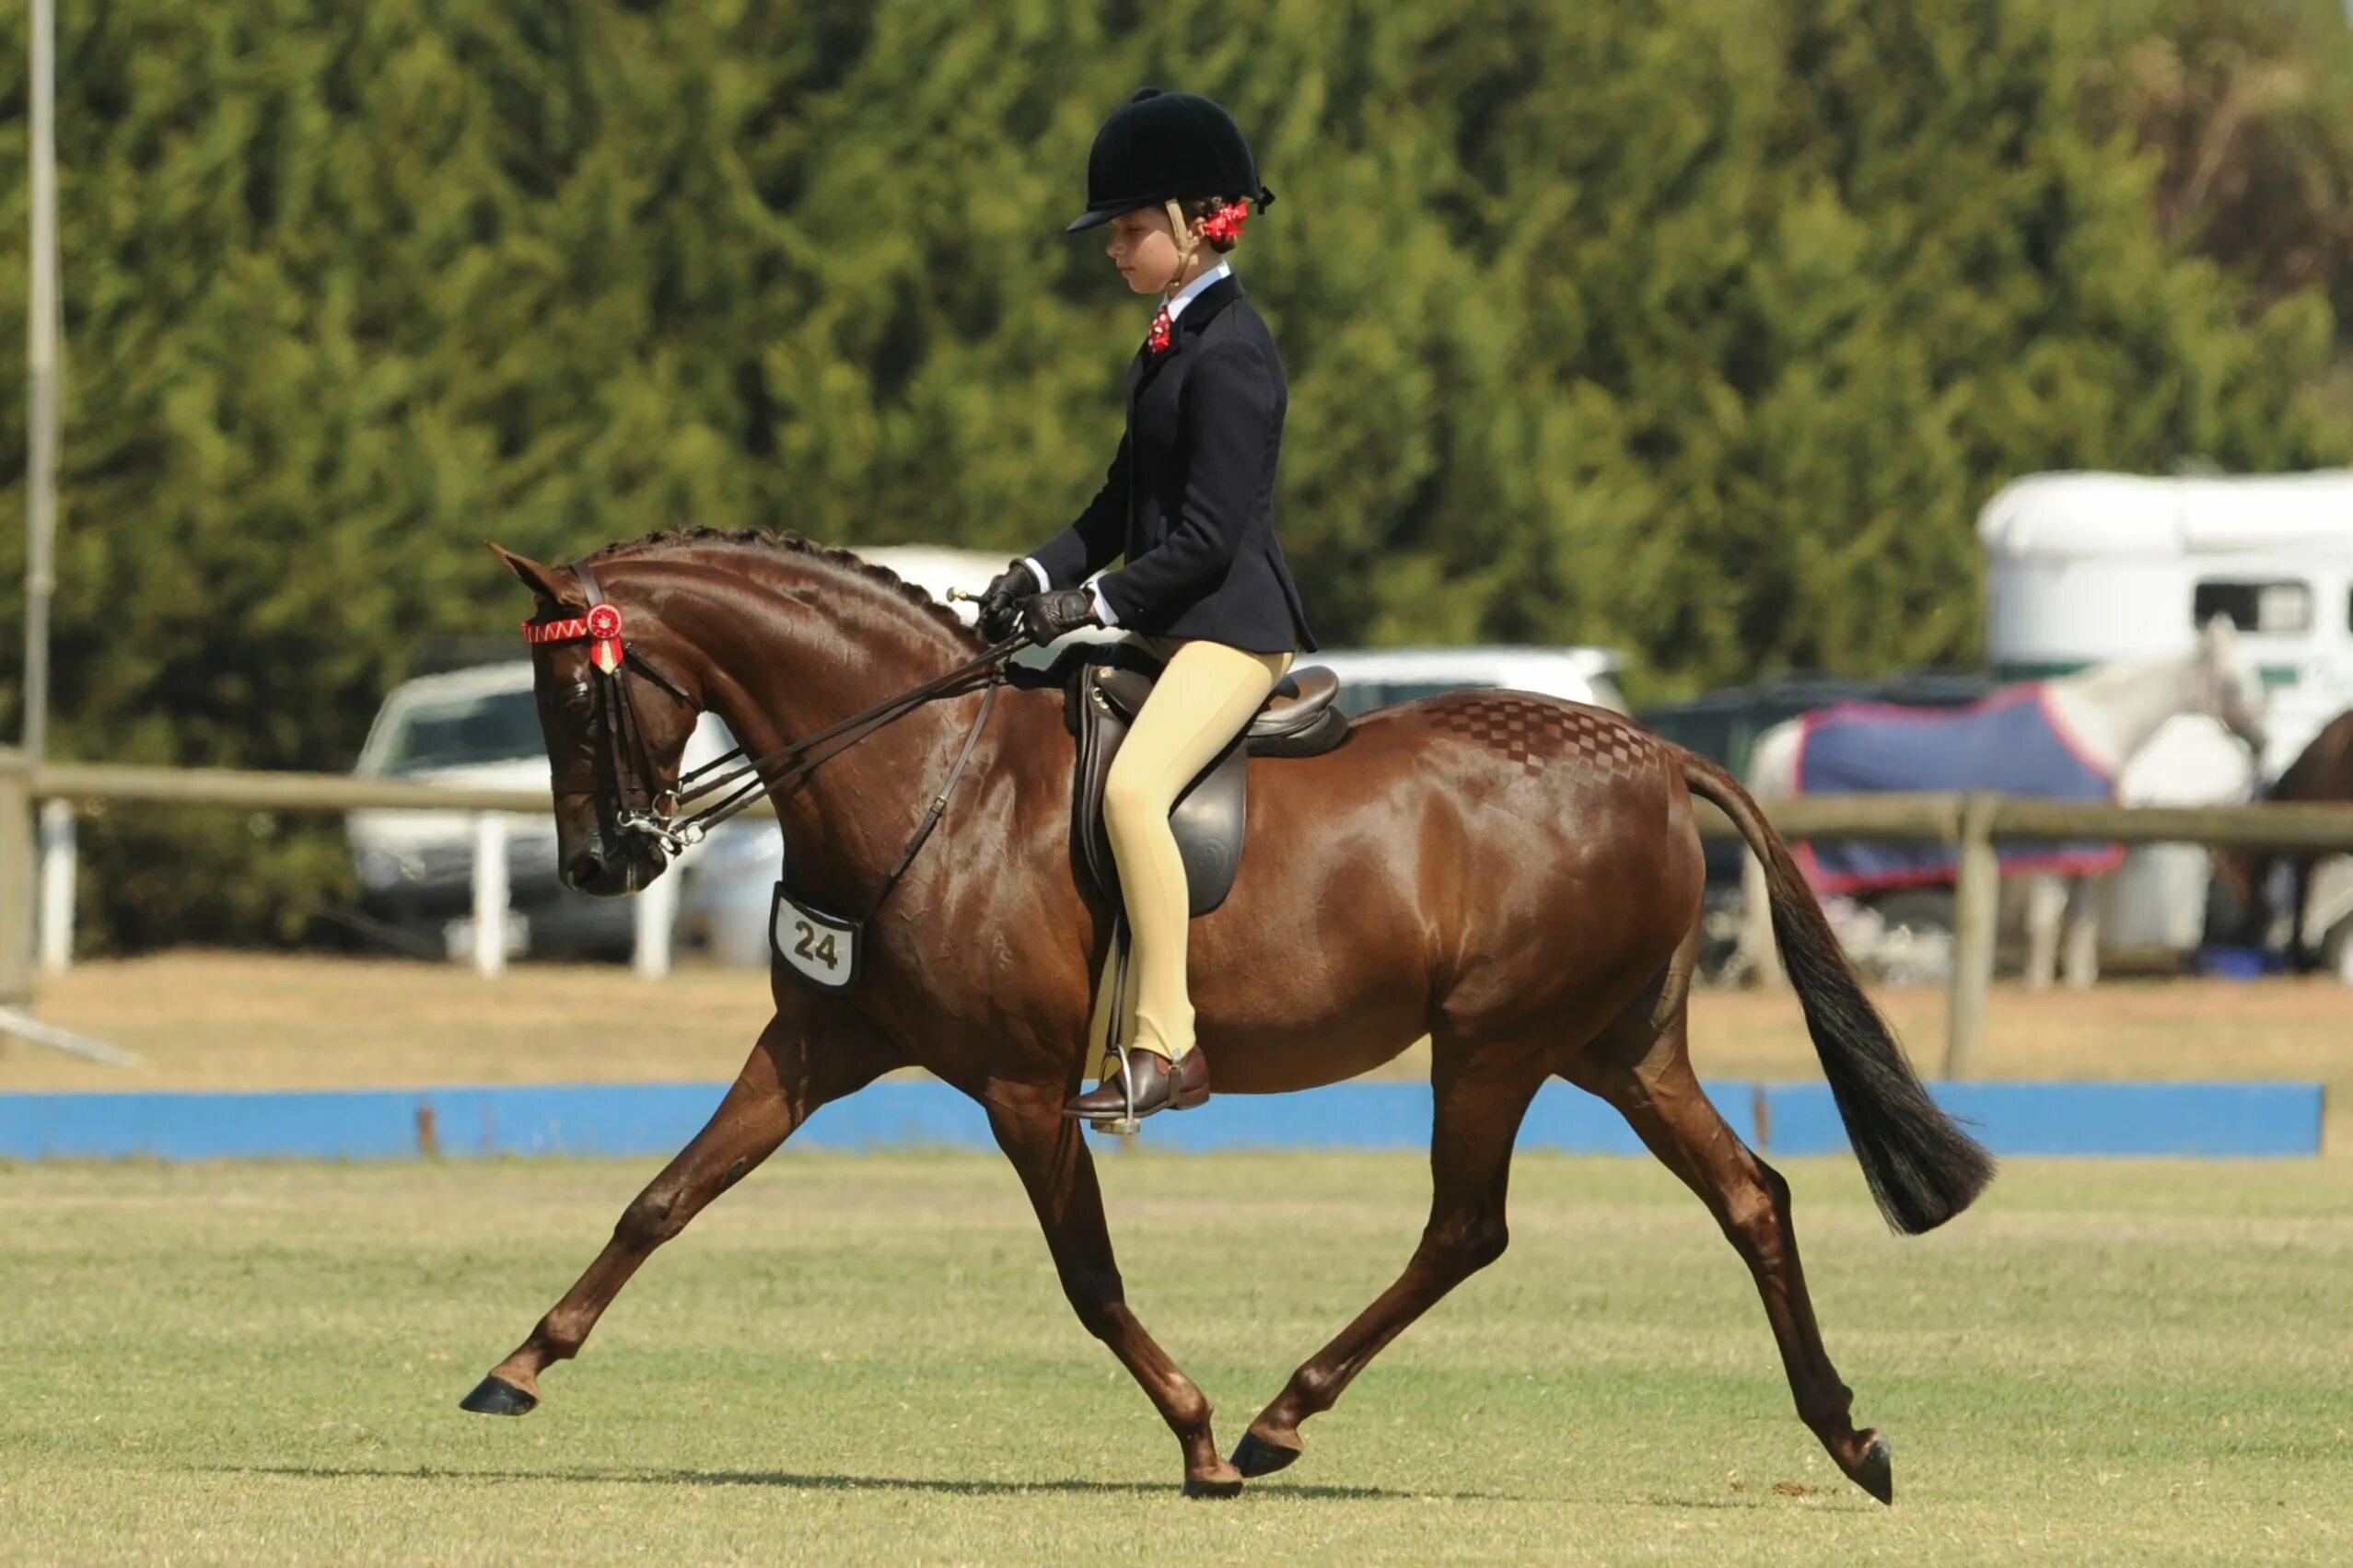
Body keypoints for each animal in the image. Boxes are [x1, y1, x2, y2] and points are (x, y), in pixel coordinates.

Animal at [468, 531, 1995, 1504]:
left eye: (577, 691)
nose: (598, 865)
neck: (922, 773)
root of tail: (1656, 750)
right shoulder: (818, 1044)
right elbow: (664, 1197)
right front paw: (515, 1366)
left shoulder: (1020, 1089)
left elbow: (1088, 1277)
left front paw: (1196, 1433)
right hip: (1614, 1047)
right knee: (1748, 1195)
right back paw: (1847, 1436)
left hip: (1494, 1042)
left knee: (1466, 1225)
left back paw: (1272, 1420)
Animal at [1741, 621, 2268, 987]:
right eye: (2236, 682)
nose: (2262, 741)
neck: (2097, 726)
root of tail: (1780, 741)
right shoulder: (2051, 857)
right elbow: (2047, 921)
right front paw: (2040, 981)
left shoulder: (2082, 859)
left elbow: (2079, 924)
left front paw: (2077, 980)